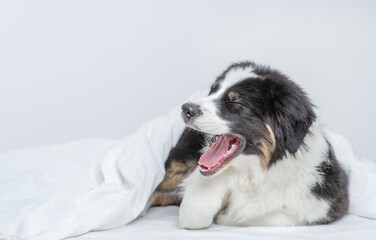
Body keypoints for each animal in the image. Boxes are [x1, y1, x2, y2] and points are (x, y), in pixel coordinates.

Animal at [149, 61, 346, 229]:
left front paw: (227, 215)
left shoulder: (326, 202)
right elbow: (195, 211)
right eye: (212, 91)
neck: (256, 171)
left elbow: (272, 216)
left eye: (235, 102)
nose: (186, 109)